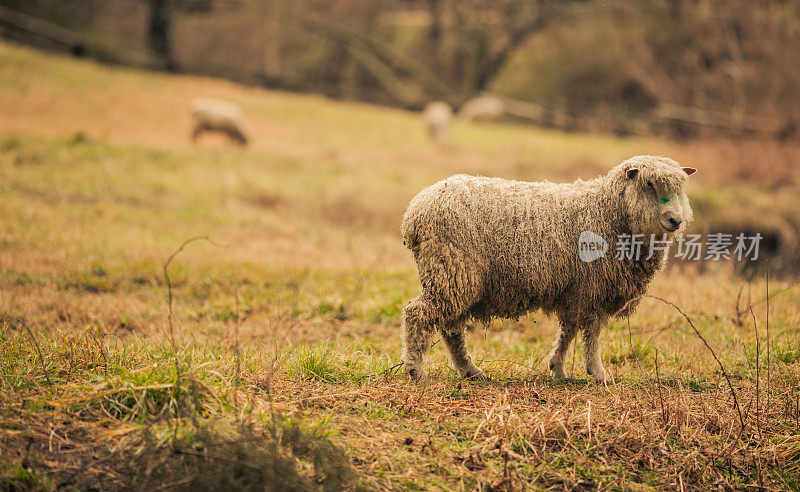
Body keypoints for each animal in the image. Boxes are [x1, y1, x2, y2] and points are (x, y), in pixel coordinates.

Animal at [400, 156, 692, 382]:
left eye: (679, 189)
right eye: (649, 184)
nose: (675, 220)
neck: (607, 211)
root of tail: (414, 213)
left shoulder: (575, 290)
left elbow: (569, 331)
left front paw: (558, 369)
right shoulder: (593, 288)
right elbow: (592, 335)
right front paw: (597, 373)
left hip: (456, 277)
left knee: (450, 328)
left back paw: (470, 371)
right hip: (452, 269)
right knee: (418, 314)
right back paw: (416, 370)